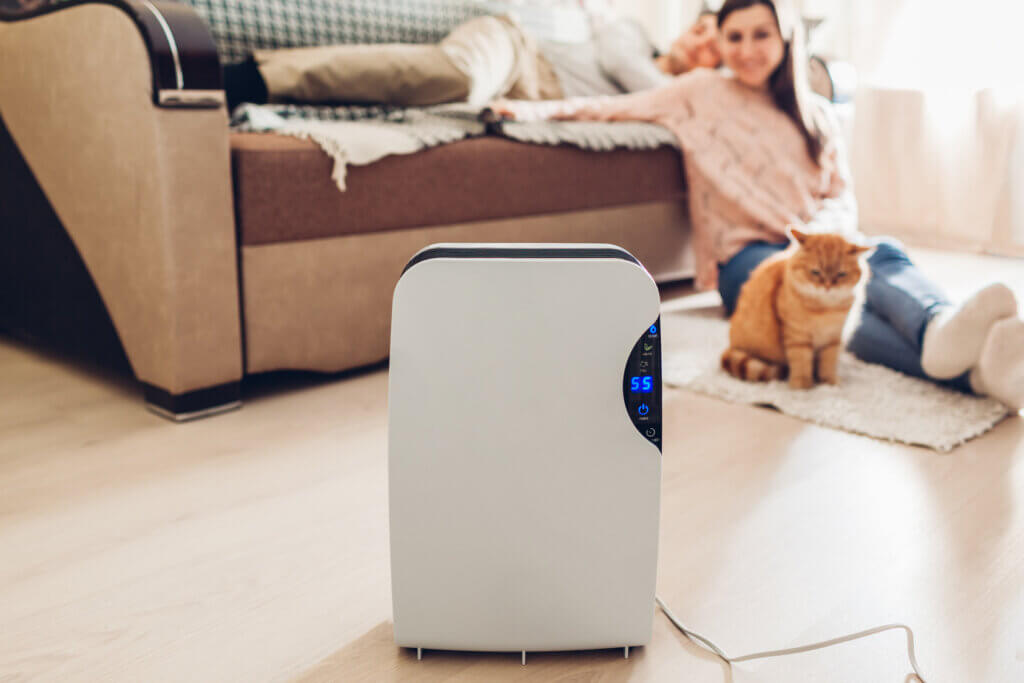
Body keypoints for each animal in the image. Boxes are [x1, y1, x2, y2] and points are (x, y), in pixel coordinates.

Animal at [720, 231, 872, 387]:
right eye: (815, 272)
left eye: (841, 274)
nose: (828, 286)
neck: (824, 309)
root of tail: (731, 346)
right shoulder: (797, 335)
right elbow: (801, 362)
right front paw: (802, 385)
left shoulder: (833, 338)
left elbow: (828, 363)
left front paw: (830, 383)